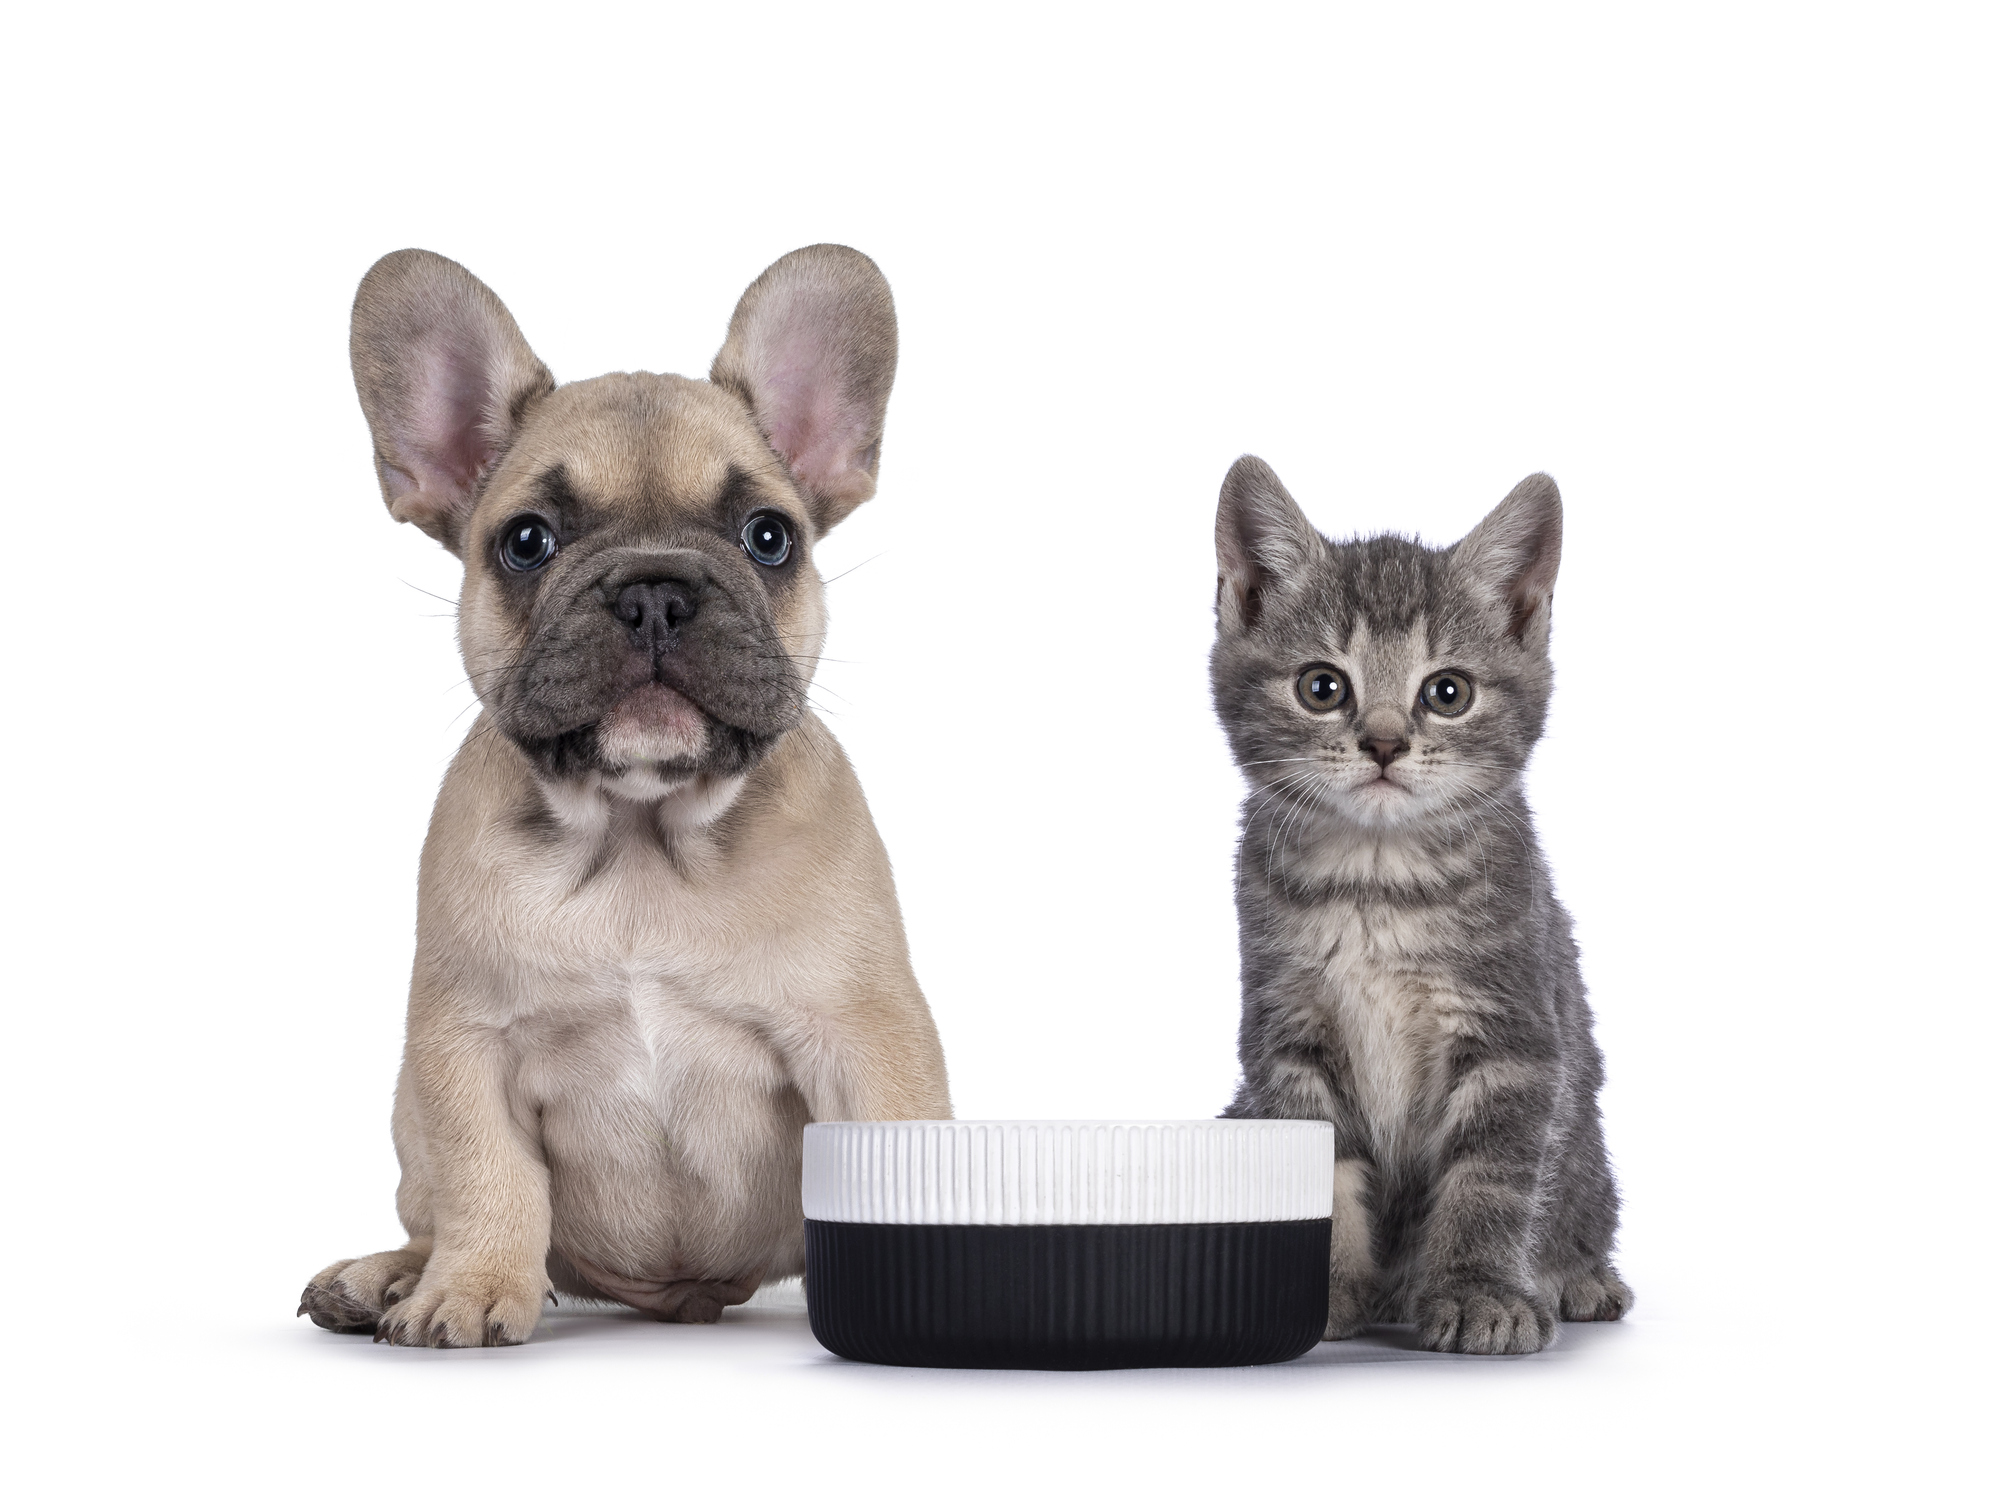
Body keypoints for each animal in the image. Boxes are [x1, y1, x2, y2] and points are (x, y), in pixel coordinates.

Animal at [297, 243, 951, 1351]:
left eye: (769, 535)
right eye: (526, 540)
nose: (653, 589)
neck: (642, 833)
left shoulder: (866, 1036)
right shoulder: (461, 1044)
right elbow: (488, 1173)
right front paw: (473, 1286)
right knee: (433, 1209)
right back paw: (389, 1275)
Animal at [1207, 457, 1631, 1359]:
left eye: (1447, 691)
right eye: (1321, 686)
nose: (1383, 741)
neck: (1378, 883)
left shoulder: (1514, 1035)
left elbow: (1490, 1178)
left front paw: (1479, 1293)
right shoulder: (1285, 1036)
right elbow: (1320, 1170)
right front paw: (1323, 1291)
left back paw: (1581, 1277)